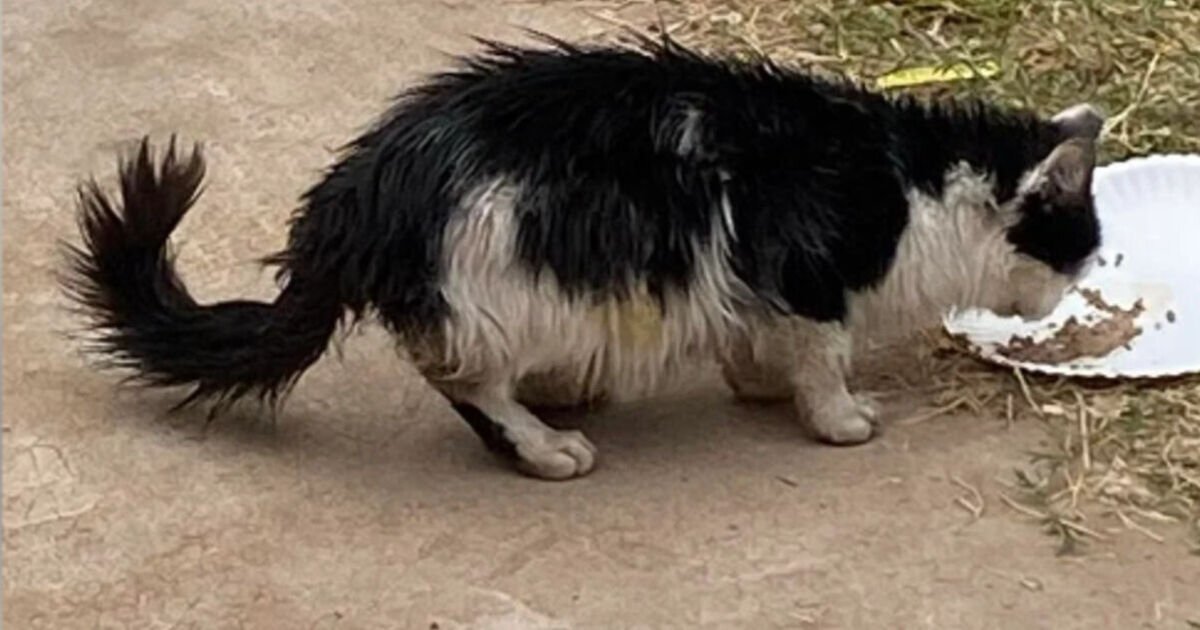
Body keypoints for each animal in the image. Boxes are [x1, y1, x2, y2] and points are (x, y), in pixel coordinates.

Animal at [63, 34, 1099, 480]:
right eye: (1080, 253)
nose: (1064, 300)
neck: (916, 185)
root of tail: (360, 192)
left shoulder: (751, 278)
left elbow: (755, 341)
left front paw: (760, 387)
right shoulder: (808, 270)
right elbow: (822, 355)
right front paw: (839, 419)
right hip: (507, 277)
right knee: (465, 381)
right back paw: (548, 443)